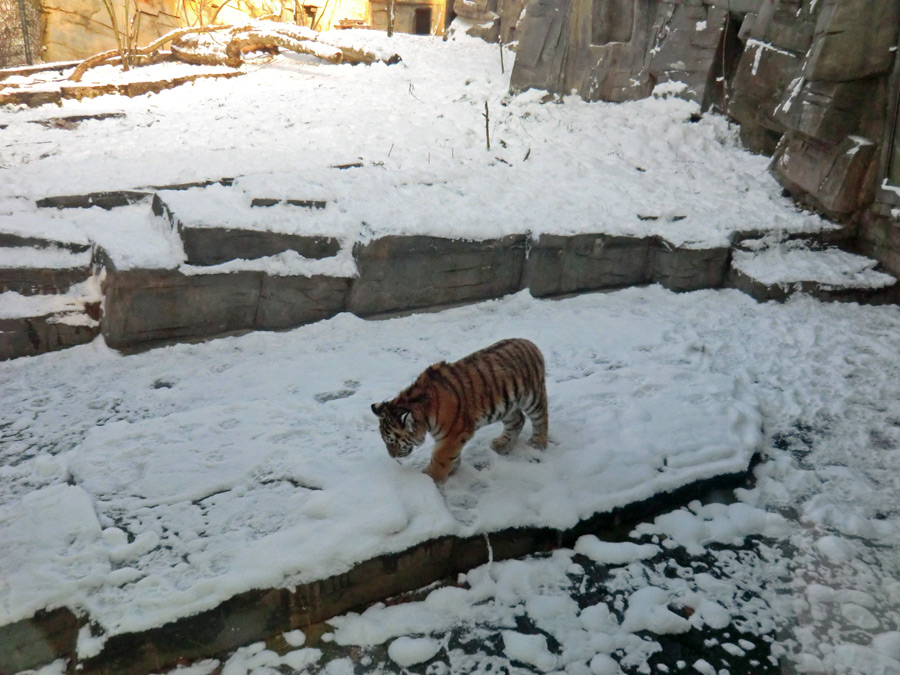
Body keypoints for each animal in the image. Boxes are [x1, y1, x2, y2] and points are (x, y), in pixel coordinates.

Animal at [370, 340, 548, 484]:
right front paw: (452, 471)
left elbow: (441, 458)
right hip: (507, 405)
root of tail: (530, 344)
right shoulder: (453, 436)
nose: (392, 456)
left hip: (532, 398)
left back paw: (537, 443)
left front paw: (430, 477)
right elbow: (452, 456)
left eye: (391, 441)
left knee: (541, 418)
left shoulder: (453, 434)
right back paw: (502, 444)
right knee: (518, 420)